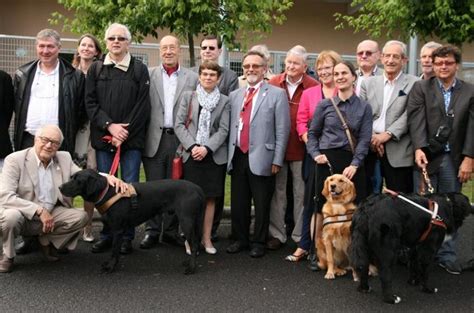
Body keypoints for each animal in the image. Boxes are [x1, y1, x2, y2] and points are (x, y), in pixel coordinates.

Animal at [58, 168, 204, 272]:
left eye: (78, 180)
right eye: (72, 177)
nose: (60, 187)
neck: (108, 192)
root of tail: (197, 188)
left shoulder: (118, 229)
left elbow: (115, 250)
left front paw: (111, 266)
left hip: (187, 221)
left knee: (194, 243)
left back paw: (191, 268)